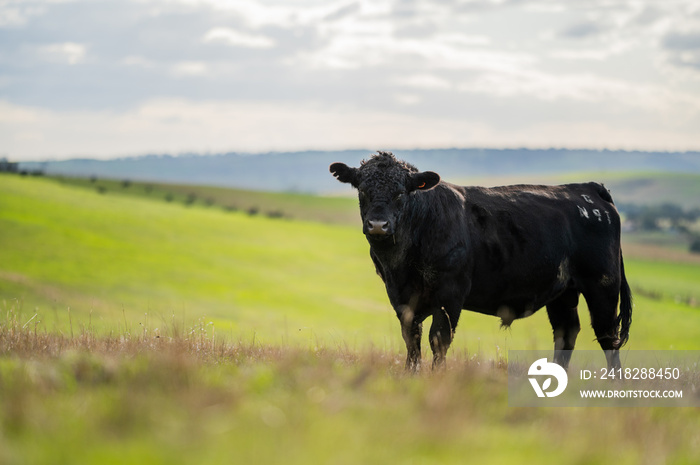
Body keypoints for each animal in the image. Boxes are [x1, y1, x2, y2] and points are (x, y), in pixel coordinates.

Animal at [330, 152, 632, 370]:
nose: (377, 225)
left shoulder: (450, 293)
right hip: (563, 292)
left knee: (607, 336)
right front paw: (410, 375)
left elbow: (438, 339)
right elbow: (411, 340)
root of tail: (586, 188)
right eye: (362, 190)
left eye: (401, 193)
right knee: (566, 332)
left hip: (602, 285)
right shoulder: (400, 296)